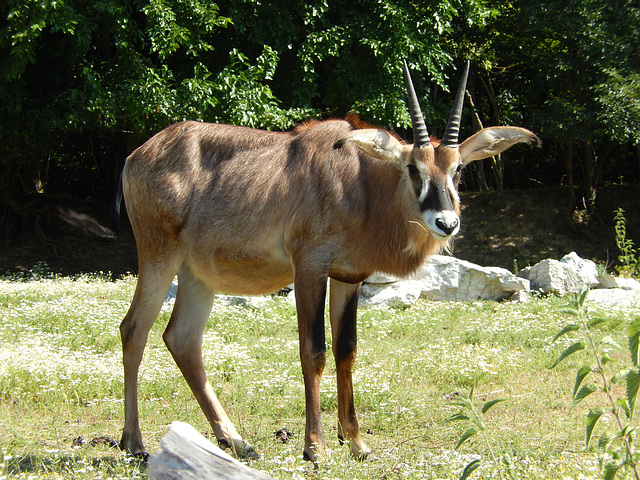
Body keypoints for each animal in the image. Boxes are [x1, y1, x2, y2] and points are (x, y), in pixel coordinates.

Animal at [116, 59, 540, 462]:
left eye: (458, 168)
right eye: (412, 168)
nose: (446, 223)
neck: (362, 182)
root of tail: (136, 155)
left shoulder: (348, 276)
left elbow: (346, 350)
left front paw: (354, 442)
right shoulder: (310, 267)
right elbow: (314, 351)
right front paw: (314, 446)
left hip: (198, 274)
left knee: (183, 338)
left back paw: (236, 442)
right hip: (159, 256)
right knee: (134, 328)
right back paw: (134, 443)